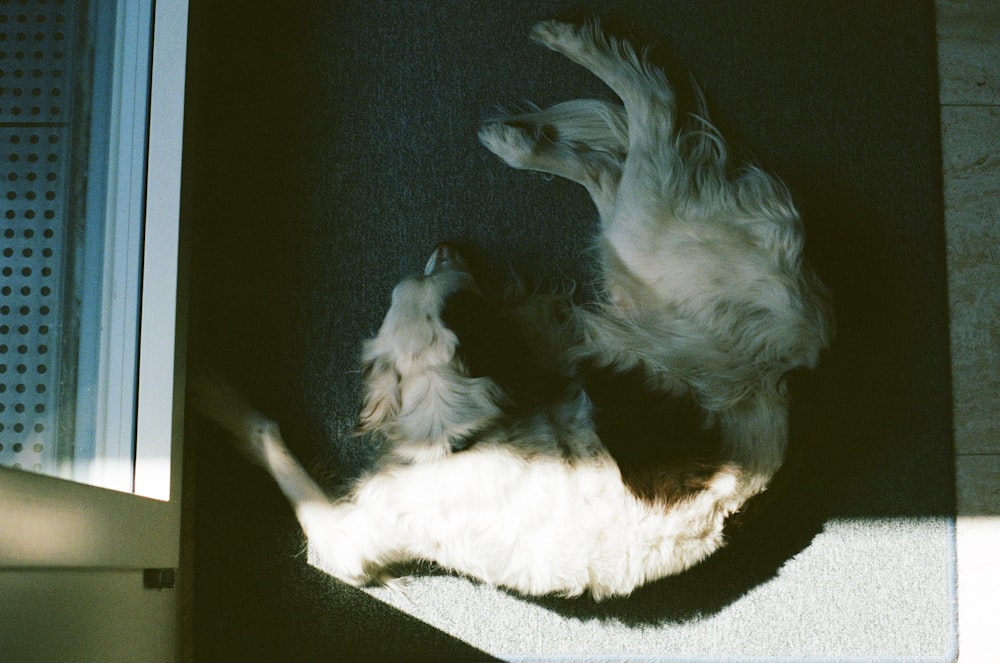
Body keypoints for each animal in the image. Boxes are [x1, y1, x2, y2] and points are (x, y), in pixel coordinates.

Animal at [191, 20, 832, 600]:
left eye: (440, 282)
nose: (448, 244)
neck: (461, 428)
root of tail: (802, 359)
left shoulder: (349, 547)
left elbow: (266, 434)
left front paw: (205, 387)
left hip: (655, 238)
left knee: (651, 102)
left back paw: (563, 50)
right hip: (633, 272)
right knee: (607, 164)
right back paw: (521, 138)